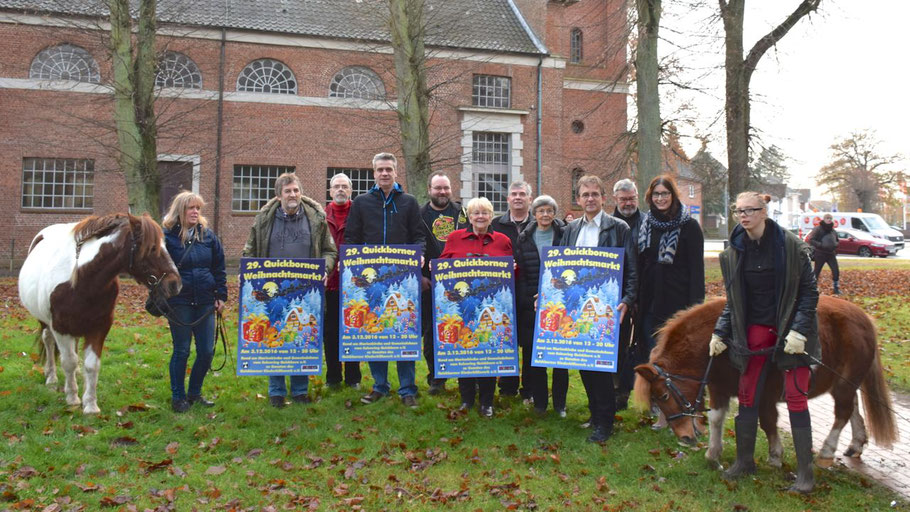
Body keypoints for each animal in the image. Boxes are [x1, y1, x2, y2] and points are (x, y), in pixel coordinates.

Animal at [19, 214, 182, 414]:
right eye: (152, 247)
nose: (175, 284)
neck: (82, 279)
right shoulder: (60, 329)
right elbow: (68, 361)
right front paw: (72, 398)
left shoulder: (99, 327)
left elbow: (92, 365)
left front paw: (90, 405)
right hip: (45, 322)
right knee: (48, 341)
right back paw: (51, 377)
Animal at [636, 296, 900, 468]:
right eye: (656, 398)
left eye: (664, 396)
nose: (684, 437)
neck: (727, 344)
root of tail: (864, 318)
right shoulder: (719, 388)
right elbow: (716, 419)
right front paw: (713, 454)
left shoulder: (764, 393)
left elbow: (767, 421)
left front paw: (775, 455)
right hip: (843, 383)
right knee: (853, 407)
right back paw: (856, 444)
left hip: (845, 383)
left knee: (843, 412)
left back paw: (826, 452)